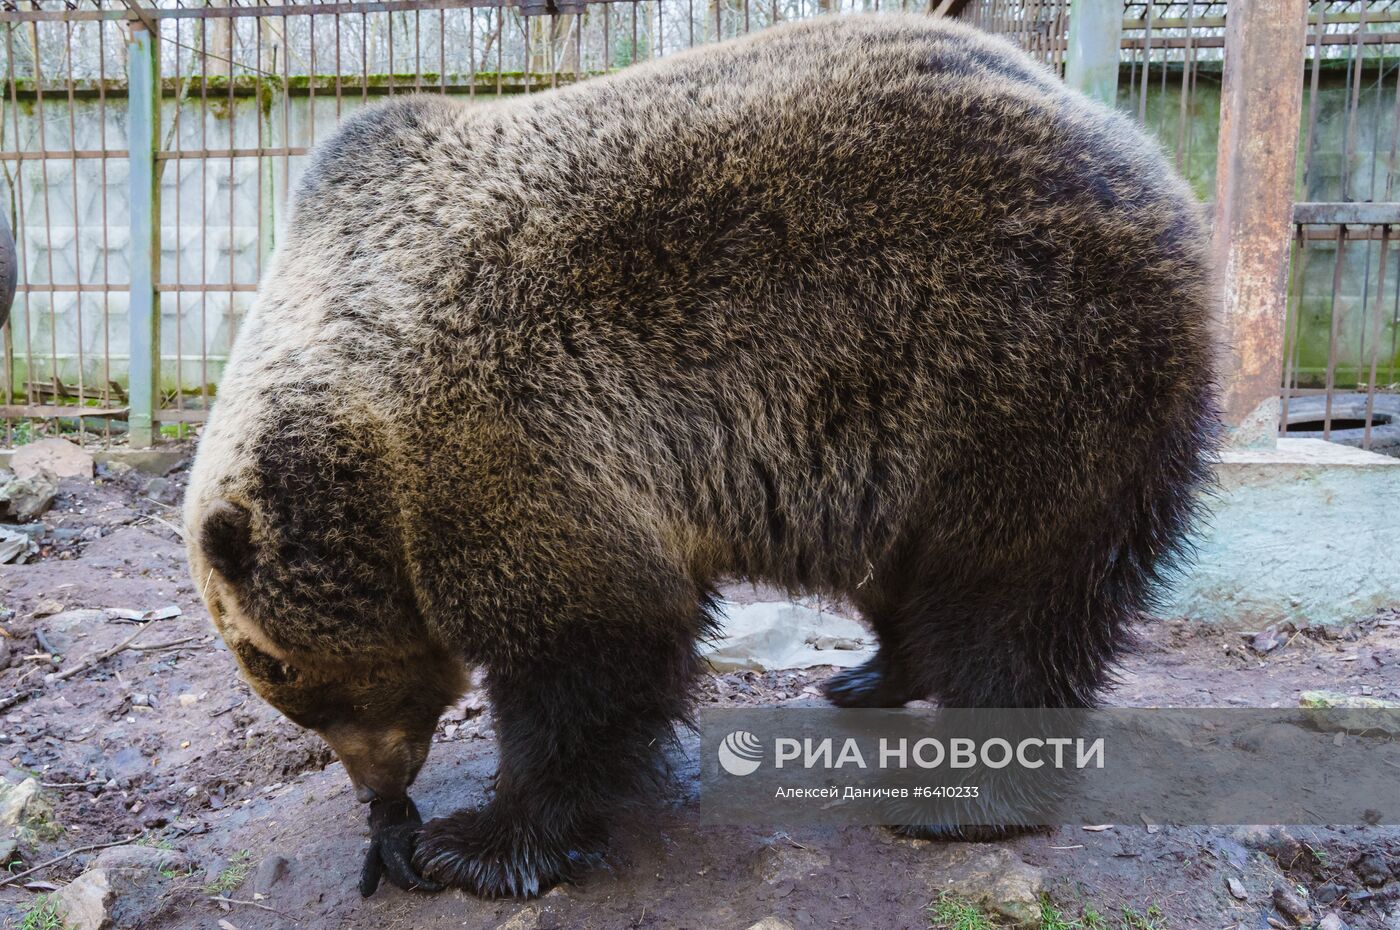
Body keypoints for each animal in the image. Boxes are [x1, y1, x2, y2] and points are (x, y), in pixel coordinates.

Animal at [183, 10, 1215, 896]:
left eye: (282, 671)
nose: (381, 790)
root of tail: (1143, 152)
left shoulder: (507, 443)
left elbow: (591, 654)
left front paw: (476, 841)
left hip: (1013, 368)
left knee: (1013, 598)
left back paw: (962, 797)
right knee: (907, 577)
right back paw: (867, 675)